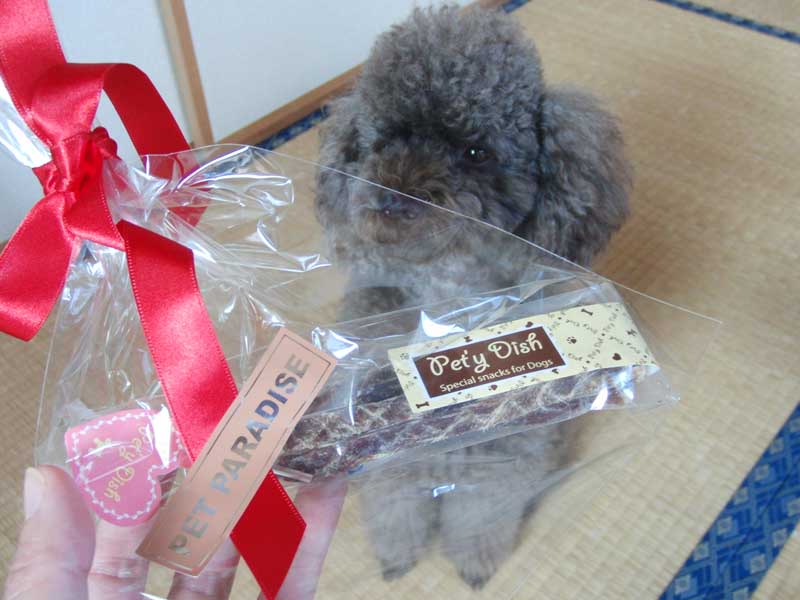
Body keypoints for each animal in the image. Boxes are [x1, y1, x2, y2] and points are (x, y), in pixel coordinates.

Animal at [315, 5, 630, 588]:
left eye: (475, 151)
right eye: (386, 137)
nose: (393, 195)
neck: (444, 297)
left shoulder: (505, 452)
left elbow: (483, 512)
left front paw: (476, 562)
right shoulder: (386, 446)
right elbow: (394, 503)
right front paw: (397, 555)